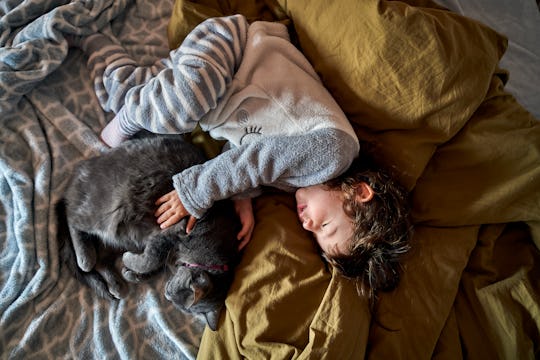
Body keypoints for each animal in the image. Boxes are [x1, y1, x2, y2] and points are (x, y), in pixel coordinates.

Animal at [56, 134, 238, 330]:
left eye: (176, 302)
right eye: (172, 293)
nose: (166, 294)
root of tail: (79, 171)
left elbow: (152, 267)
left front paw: (131, 274)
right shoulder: (167, 234)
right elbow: (150, 260)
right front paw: (130, 262)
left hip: (119, 239)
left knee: (101, 261)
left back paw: (115, 285)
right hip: (106, 215)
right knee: (72, 218)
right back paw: (85, 259)